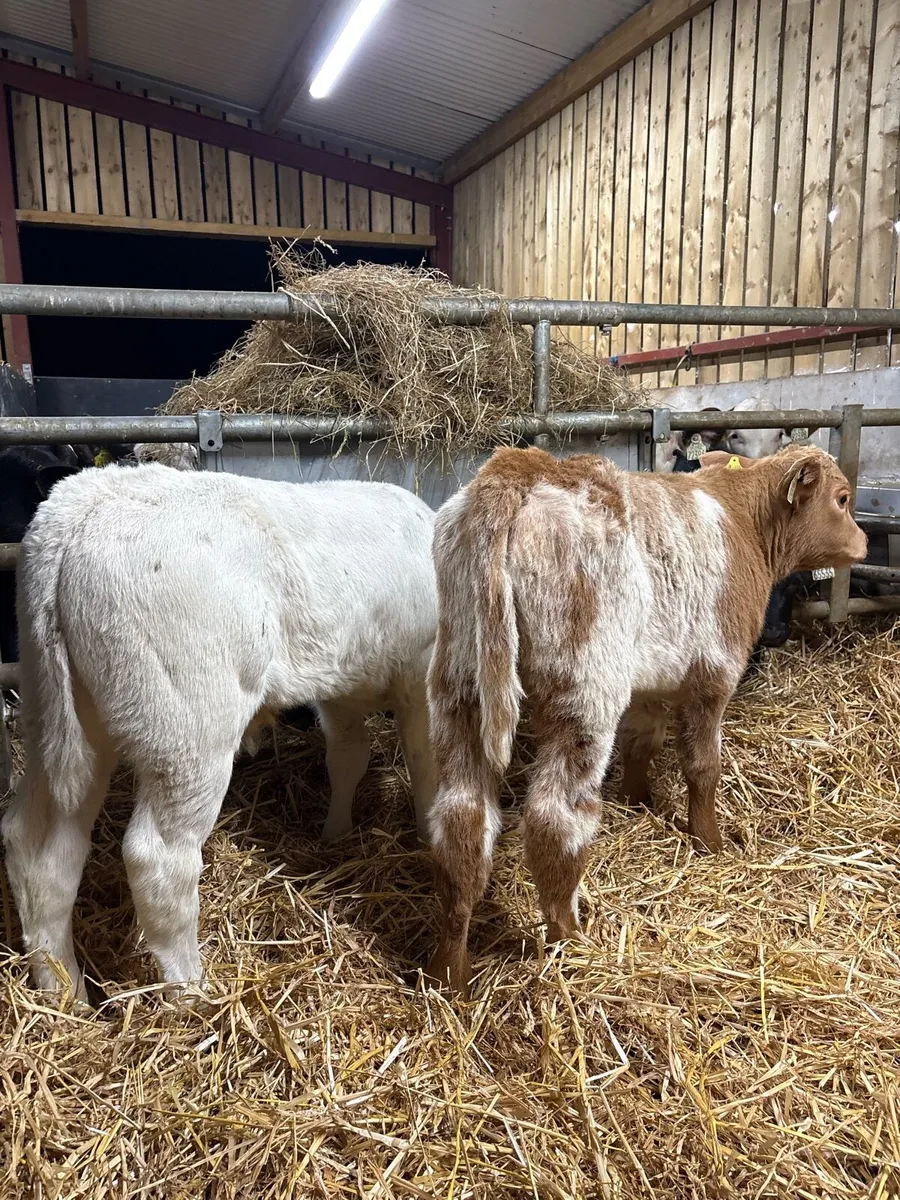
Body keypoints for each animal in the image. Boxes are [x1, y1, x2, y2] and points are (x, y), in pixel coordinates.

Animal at [2, 465, 438, 999]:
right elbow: (424, 763)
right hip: (188, 730)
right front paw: (427, 837)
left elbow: (349, 758)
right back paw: (191, 994)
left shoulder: (340, 685)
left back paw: (65, 994)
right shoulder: (422, 676)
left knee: (41, 850)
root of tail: (83, 505)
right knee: (158, 859)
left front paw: (336, 834)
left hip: (58, 717)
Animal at [424, 444, 867, 992]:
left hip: (460, 680)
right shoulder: (715, 670)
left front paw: (639, 801)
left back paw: (450, 974)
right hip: (584, 687)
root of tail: (519, 470)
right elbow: (703, 766)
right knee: (554, 818)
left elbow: (643, 741)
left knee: (462, 821)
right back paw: (572, 941)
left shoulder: (651, 682)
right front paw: (710, 840)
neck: (744, 518)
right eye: (842, 498)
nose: (864, 542)